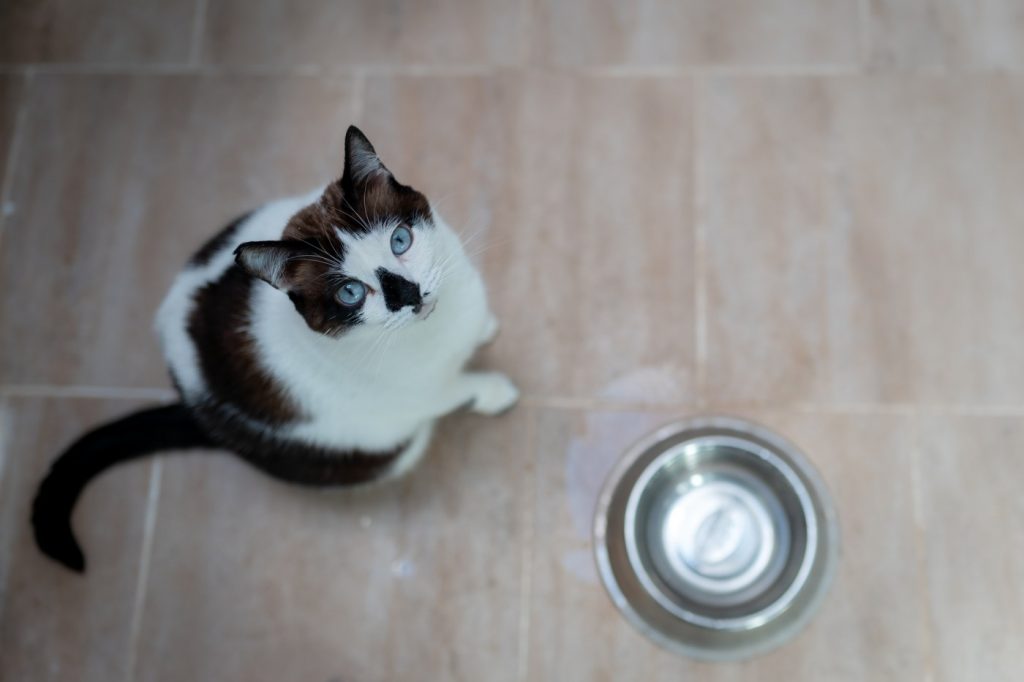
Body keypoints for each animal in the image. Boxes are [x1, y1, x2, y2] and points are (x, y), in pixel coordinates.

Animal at [32, 125, 520, 569]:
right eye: (349, 293)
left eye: (401, 239)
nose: (409, 295)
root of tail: (190, 398)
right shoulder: (421, 396)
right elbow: (461, 389)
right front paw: (495, 391)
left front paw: (485, 328)